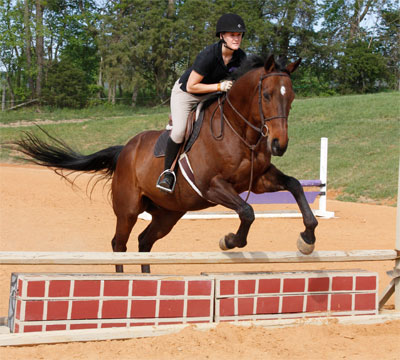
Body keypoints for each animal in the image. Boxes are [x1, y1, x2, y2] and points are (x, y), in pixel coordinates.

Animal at [15, 54, 318, 272]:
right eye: (266, 95)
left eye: (291, 97)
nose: (279, 144)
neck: (239, 131)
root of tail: (125, 150)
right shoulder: (212, 187)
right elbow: (247, 212)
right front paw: (229, 240)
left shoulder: (258, 180)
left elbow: (294, 186)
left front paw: (307, 239)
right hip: (128, 209)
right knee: (119, 243)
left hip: (167, 213)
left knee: (144, 241)